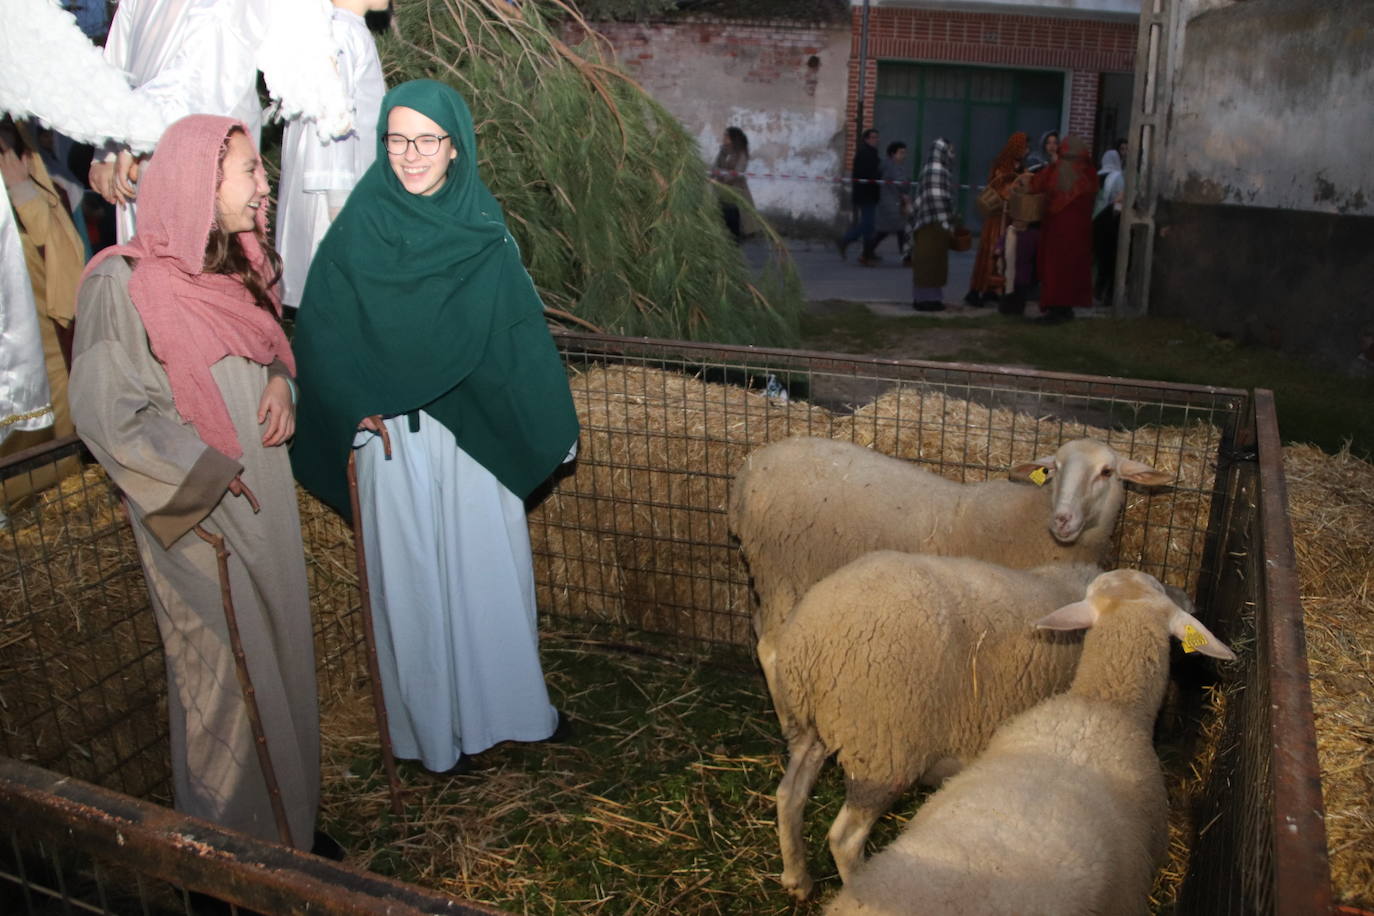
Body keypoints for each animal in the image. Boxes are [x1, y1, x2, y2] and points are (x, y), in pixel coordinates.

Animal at [730, 436, 1170, 637]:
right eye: (1055, 468)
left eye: (1107, 472)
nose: (1062, 519)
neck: (1029, 518)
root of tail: (749, 469)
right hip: (782, 566)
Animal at [758, 554, 1099, 900]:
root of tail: (811, 635)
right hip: (883, 750)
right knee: (845, 839)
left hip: (814, 729)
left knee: (789, 794)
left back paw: (797, 878)